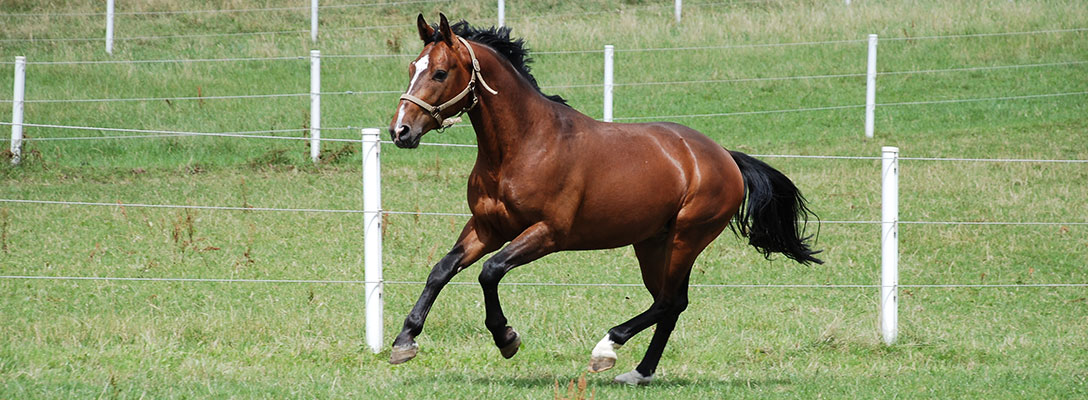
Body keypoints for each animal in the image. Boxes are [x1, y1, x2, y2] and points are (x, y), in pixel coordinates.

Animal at [387, 14, 818, 386]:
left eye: (440, 72)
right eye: (410, 68)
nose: (400, 131)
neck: (524, 145)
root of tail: (724, 156)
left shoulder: (548, 233)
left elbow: (489, 272)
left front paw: (506, 338)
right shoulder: (487, 227)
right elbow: (442, 270)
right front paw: (404, 341)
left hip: (687, 238)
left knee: (667, 302)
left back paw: (607, 349)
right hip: (653, 243)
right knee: (672, 303)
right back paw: (639, 373)